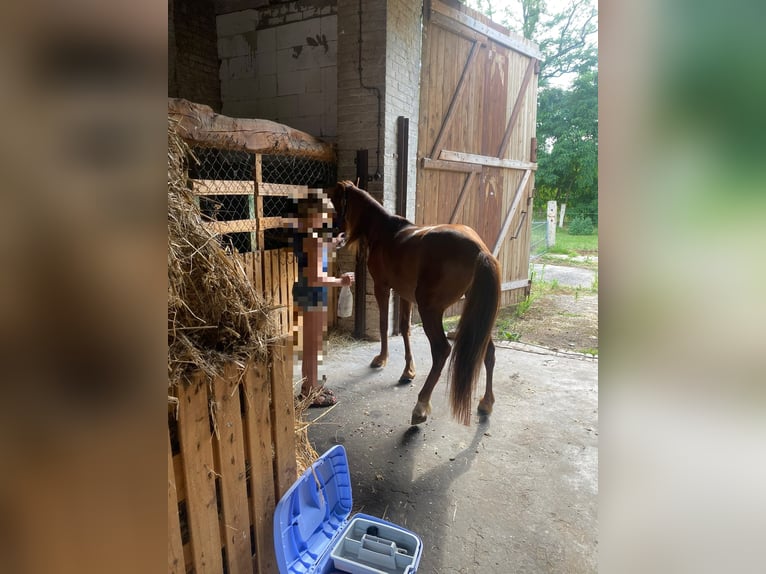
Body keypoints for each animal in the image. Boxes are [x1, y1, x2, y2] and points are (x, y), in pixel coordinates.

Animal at [328, 181, 501, 426]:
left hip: (430, 311)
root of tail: (479, 250)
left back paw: (420, 407)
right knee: (488, 351)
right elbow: (404, 329)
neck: (385, 231)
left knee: (441, 351)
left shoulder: (382, 288)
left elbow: (383, 325)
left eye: (335, 200)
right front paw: (408, 371)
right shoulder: (404, 295)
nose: (334, 232)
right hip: (475, 311)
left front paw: (381, 359)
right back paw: (486, 403)